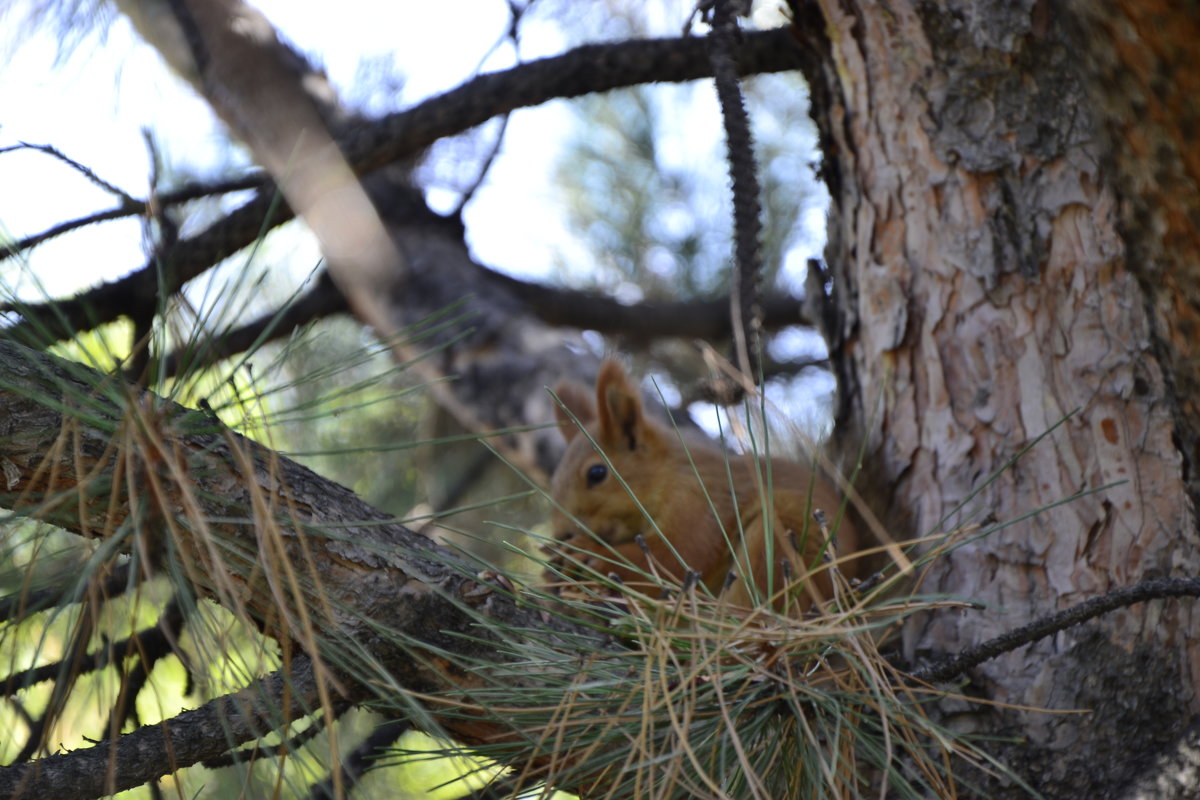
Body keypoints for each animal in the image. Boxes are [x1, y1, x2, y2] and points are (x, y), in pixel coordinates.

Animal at [544, 359, 864, 618]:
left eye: (596, 473)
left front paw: (586, 552)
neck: (669, 475)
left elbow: (678, 556)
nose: (562, 534)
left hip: (779, 542)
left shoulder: (701, 501)